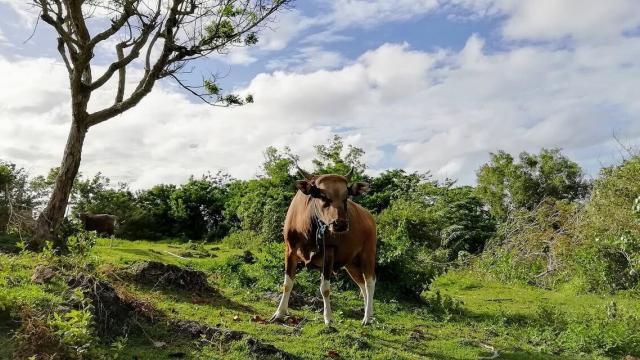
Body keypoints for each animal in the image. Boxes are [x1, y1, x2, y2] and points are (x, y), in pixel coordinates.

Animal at [268, 167, 378, 324]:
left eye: (346, 197)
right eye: (322, 195)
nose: (340, 224)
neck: (309, 229)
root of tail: (369, 217)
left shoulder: (329, 252)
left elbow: (325, 288)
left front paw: (328, 318)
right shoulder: (290, 250)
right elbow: (287, 284)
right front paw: (279, 313)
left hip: (367, 254)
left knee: (370, 282)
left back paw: (367, 317)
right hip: (351, 262)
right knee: (361, 284)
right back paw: (369, 313)